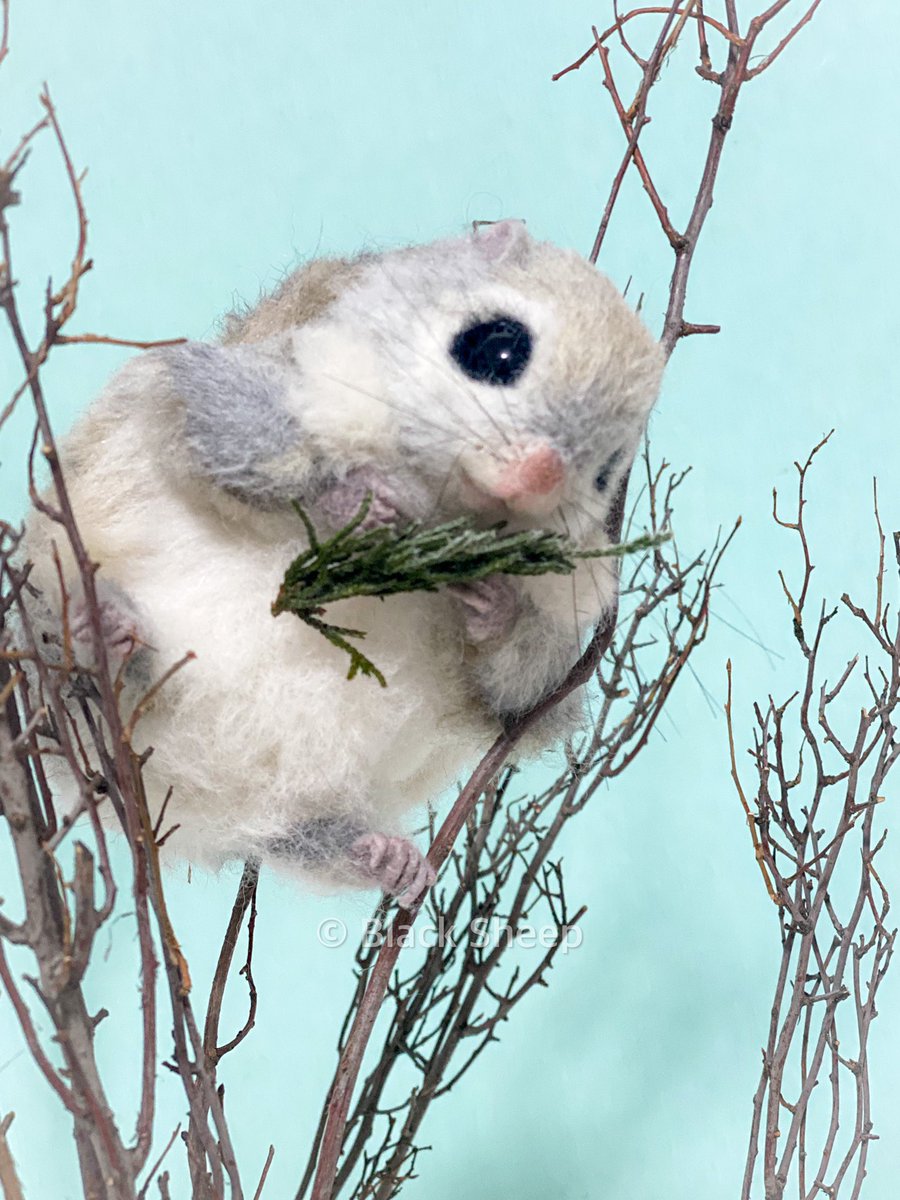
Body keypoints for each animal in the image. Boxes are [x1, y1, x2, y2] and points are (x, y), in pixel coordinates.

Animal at [18, 220, 664, 905]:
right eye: (496, 348)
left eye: (608, 470)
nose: (537, 476)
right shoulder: (232, 392)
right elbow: (231, 446)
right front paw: (362, 501)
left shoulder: (558, 629)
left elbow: (522, 689)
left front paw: (492, 603)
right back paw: (105, 633)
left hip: (296, 815)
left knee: (304, 841)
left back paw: (387, 859)